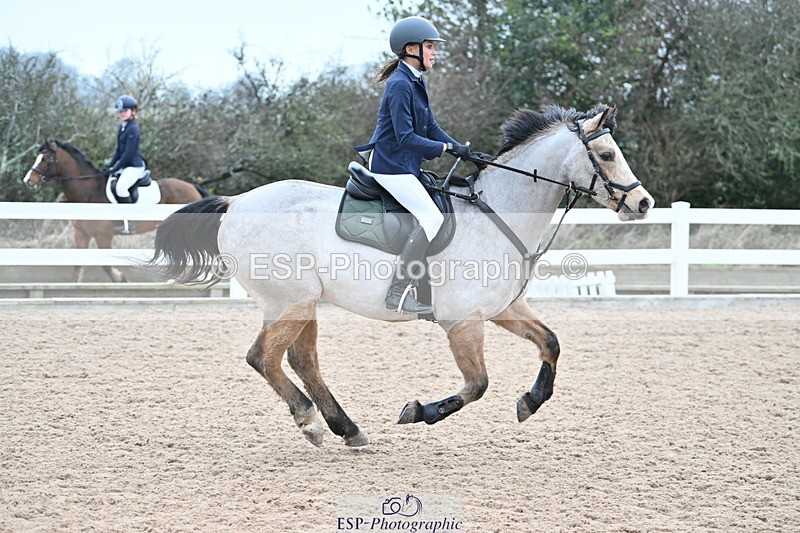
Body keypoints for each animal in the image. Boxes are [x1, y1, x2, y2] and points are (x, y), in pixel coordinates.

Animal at [23, 139, 208, 282]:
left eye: (46, 159)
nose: (28, 181)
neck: (88, 192)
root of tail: (193, 187)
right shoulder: (81, 234)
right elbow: (77, 266)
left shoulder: (104, 235)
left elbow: (105, 265)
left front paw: (121, 278)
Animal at [148, 104, 654, 447]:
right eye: (606, 154)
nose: (643, 202)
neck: (496, 212)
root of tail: (235, 202)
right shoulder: (462, 322)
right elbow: (477, 385)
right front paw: (419, 412)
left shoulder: (502, 309)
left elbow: (550, 342)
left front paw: (530, 402)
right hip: (289, 302)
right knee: (264, 358)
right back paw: (311, 422)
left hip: (305, 303)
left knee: (302, 361)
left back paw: (347, 428)